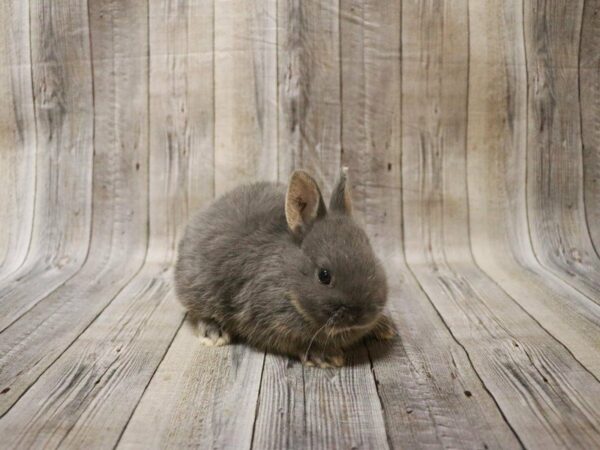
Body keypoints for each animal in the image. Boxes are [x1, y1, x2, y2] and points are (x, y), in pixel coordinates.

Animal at [173, 167, 396, 368]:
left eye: (372, 258)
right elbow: (298, 343)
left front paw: (385, 328)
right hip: (198, 290)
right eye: (324, 275)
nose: (362, 315)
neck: (289, 283)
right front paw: (326, 357)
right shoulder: (270, 323)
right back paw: (214, 333)